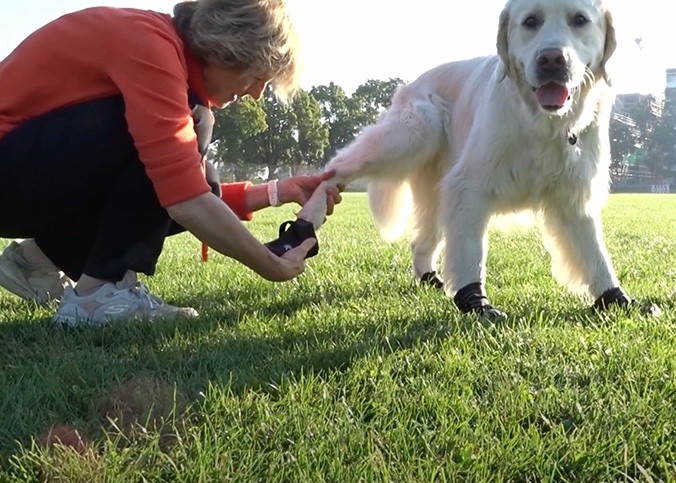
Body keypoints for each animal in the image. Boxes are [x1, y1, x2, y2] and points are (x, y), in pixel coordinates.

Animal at [298, 0, 632, 318]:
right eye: (530, 21)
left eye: (580, 20)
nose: (551, 60)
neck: (541, 123)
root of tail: (411, 83)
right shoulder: (468, 189)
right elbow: (471, 252)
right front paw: (475, 302)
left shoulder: (574, 198)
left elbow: (595, 254)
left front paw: (614, 298)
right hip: (408, 137)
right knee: (337, 167)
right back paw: (309, 217)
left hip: (433, 189)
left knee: (421, 240)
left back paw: (429, 277)